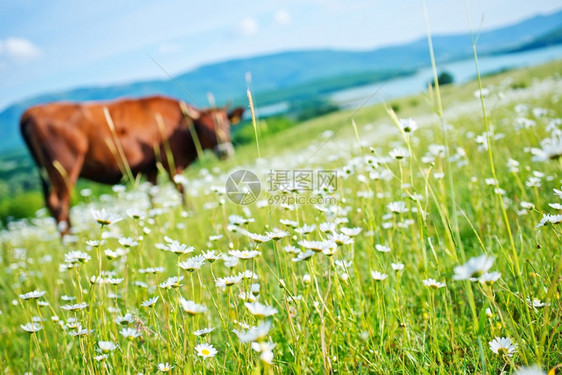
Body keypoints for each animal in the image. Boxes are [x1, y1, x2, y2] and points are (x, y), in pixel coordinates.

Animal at [20, 95, 243, 235]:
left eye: (227, 124)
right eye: (204, 129)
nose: (225, 151)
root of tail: (31, 112)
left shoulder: (151, 169)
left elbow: (152, 197)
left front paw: (154, 222)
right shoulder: (172, 164)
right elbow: (182, 192)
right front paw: (191, 215)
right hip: (64, 168)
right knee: (59, 205)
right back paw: (71, 243)